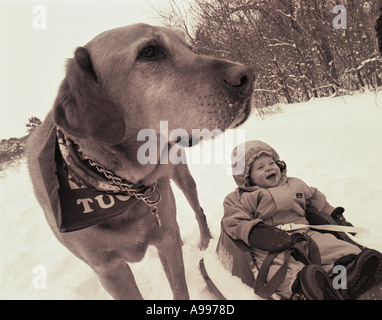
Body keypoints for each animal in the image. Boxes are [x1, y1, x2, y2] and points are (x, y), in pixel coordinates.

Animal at [26, 23, 254, 300]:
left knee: (196, 209)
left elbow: (180, 288)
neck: (121, 184)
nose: (248, 76)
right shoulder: (109, 270)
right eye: (149, 51)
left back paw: (205, 241)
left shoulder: (166, 238)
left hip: (181, 177)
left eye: (189, 48)